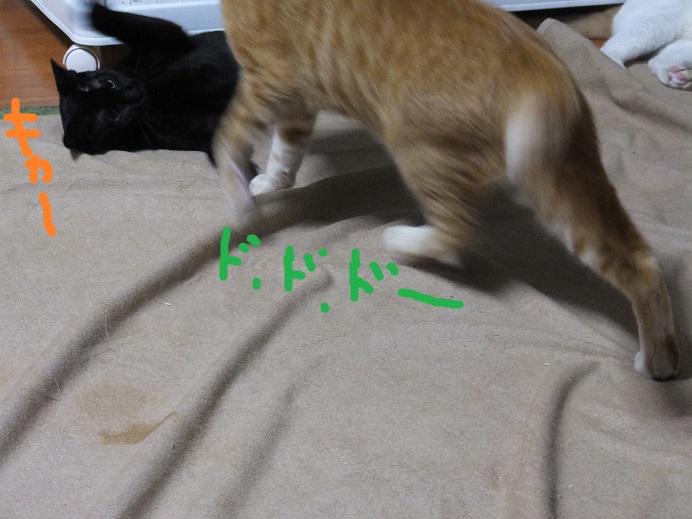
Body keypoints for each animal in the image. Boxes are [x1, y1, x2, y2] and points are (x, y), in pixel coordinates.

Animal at [51, 4, 240, 161]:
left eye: (110, 84)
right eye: (113, 114)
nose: (133, 92)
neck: (152, 94)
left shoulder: (167, 39)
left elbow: (133, 23)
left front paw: (92, 9)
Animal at [212, 0, 680, 380]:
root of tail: (539, 67)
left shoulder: (270, 80)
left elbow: (226, 137)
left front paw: (241, 201)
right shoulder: (297, 101)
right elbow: (285, 150)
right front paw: (272, 182)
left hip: (420, 147)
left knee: (458, 232)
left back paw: (402, 241)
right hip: (565, 178)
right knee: (638, 261)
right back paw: (660, 362)